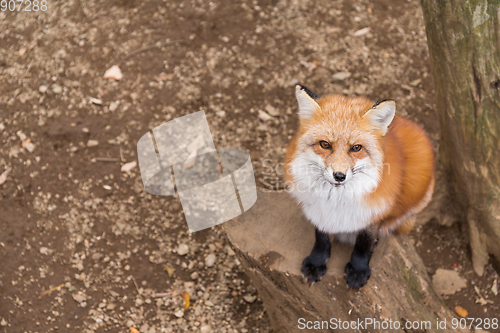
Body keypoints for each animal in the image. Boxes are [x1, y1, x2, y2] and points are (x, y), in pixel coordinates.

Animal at [286, 85, 434, 288]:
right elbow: (321, 238)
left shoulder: (373, 211)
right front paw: (316, 262)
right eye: (325, 144)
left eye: (356, 148)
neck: (336, 200)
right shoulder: (318, 209)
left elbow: (364, 243)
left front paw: (358, 269)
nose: (339, 176)